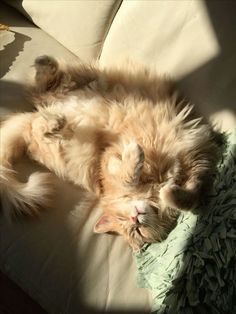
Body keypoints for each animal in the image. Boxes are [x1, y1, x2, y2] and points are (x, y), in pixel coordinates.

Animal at [0, 56, 222, 250]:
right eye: (129, 225)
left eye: (137, 231)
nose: (135, 219)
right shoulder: (106, 159)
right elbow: (129, 176)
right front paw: (136, 156)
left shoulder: (198, 160)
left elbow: (191, 195)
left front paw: (168, 192)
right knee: (40, 108)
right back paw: (53, 113)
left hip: (78, 86)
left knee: (44, 90)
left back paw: (46, 73)